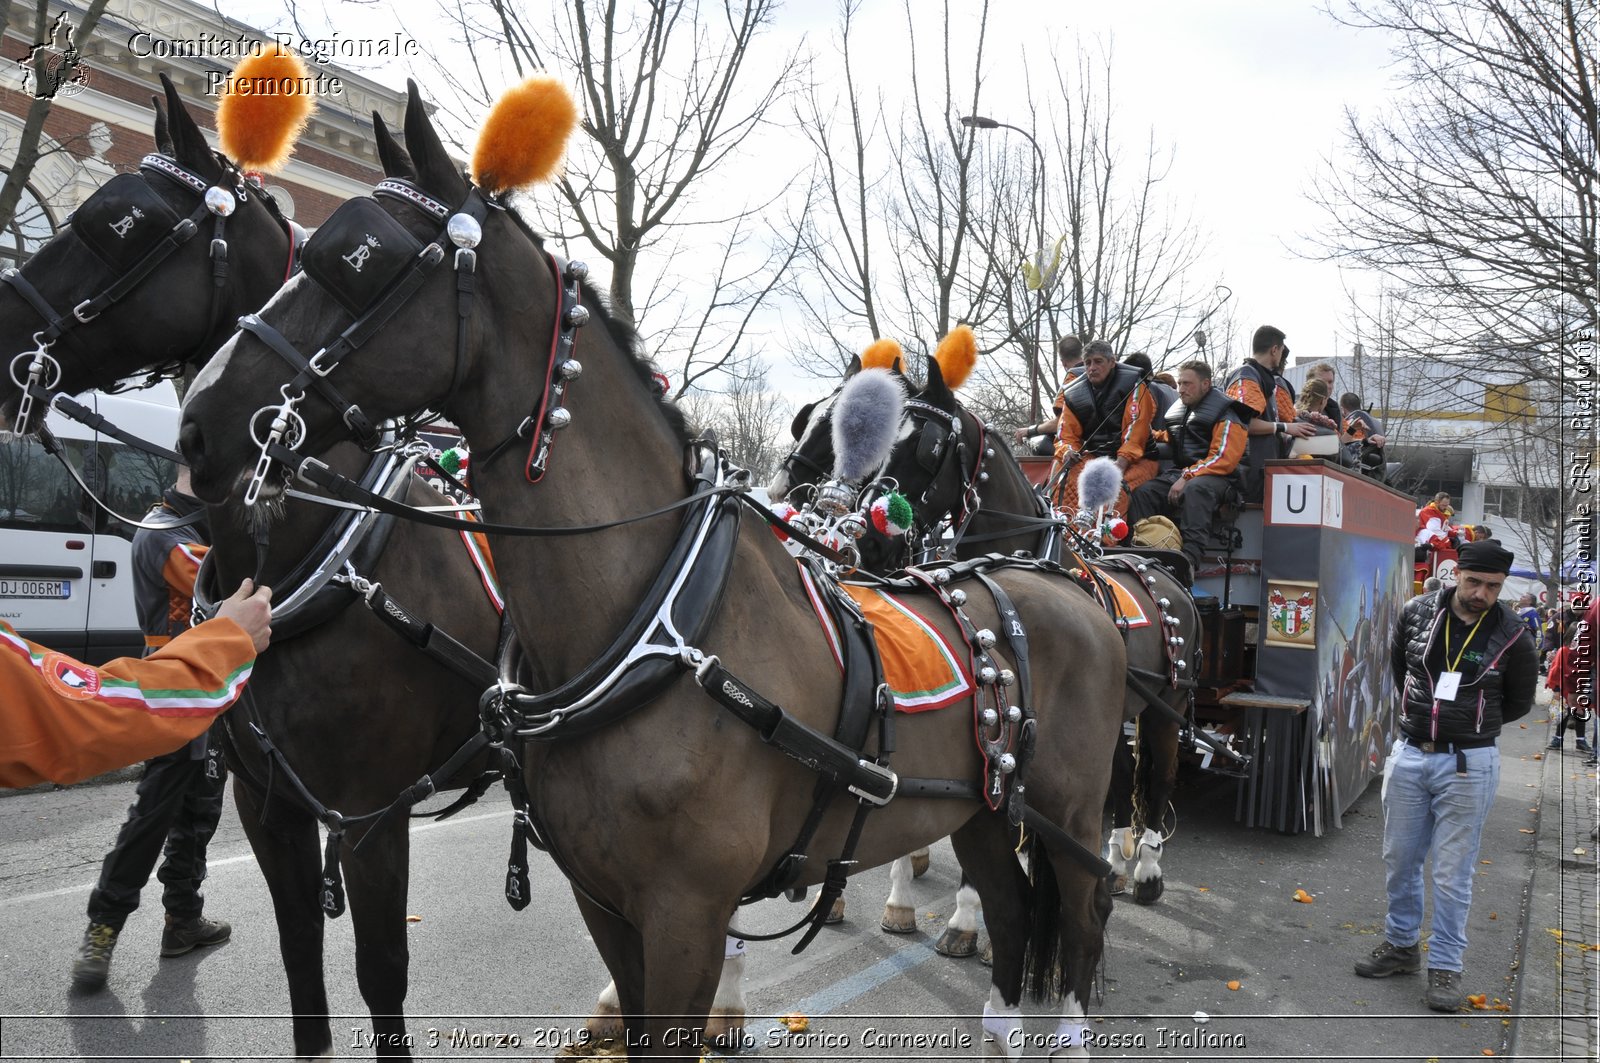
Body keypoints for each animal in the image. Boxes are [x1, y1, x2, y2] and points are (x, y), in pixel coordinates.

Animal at [0, 80, 499, 1056]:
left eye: (121, 223)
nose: (1, 320)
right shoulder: (270, 804)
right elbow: (303, 961)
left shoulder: (370, 816)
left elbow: (382, 975)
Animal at [172, 80, 1126, 1056]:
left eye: (361, 259)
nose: (202, 422)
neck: (657, 623)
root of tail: (1065, 585)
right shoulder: (601, 895)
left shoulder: (683, 912)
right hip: (988, 811)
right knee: (1013, 906)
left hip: (1072, 816)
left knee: (1085, 913)